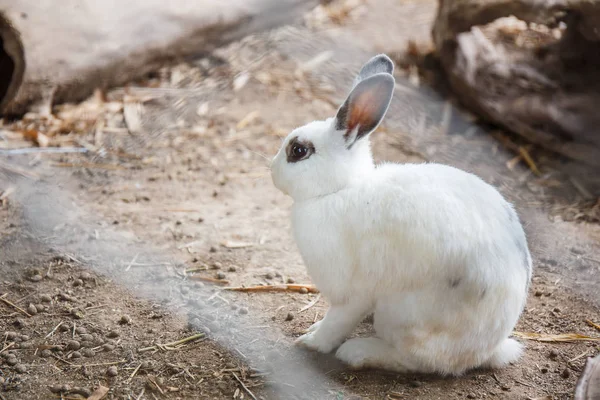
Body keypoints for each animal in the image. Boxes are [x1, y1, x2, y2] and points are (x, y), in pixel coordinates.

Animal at [270, 54, 532, 376]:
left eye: (298, 150)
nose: (272, 171)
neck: (341, 189)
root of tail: (490, 347)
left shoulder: (352, 293)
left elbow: (337, 322)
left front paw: (311, 341)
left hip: (402, 314)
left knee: (417, 360)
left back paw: (359, 352)